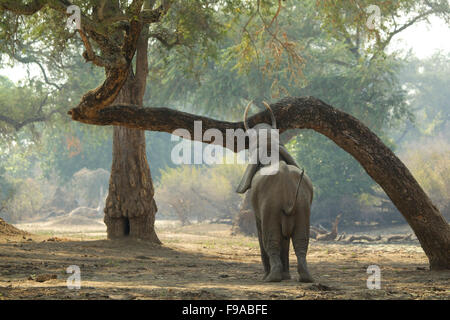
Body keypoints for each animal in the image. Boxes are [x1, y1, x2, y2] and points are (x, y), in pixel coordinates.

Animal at [236, 100, 312, 282]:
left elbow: (260, 228)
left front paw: (272, 276)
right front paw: (287, 277)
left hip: (271, 205)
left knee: (270, 239)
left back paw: (272, 278)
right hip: (302, 205)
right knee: (301, 240)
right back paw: (305, 277)